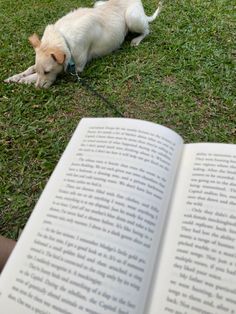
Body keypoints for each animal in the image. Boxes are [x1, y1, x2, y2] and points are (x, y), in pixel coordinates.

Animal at [4, 0, 162, 88]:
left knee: (147, 30)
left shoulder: (77, 68)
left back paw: (137, 39)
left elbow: (57, 72)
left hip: (132, 18)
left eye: (48, 72)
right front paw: (16, 76)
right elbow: (30, 68)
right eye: (40, 70)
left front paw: (26, 80)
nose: (38, 88)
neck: (63, 37)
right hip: (99, 3)